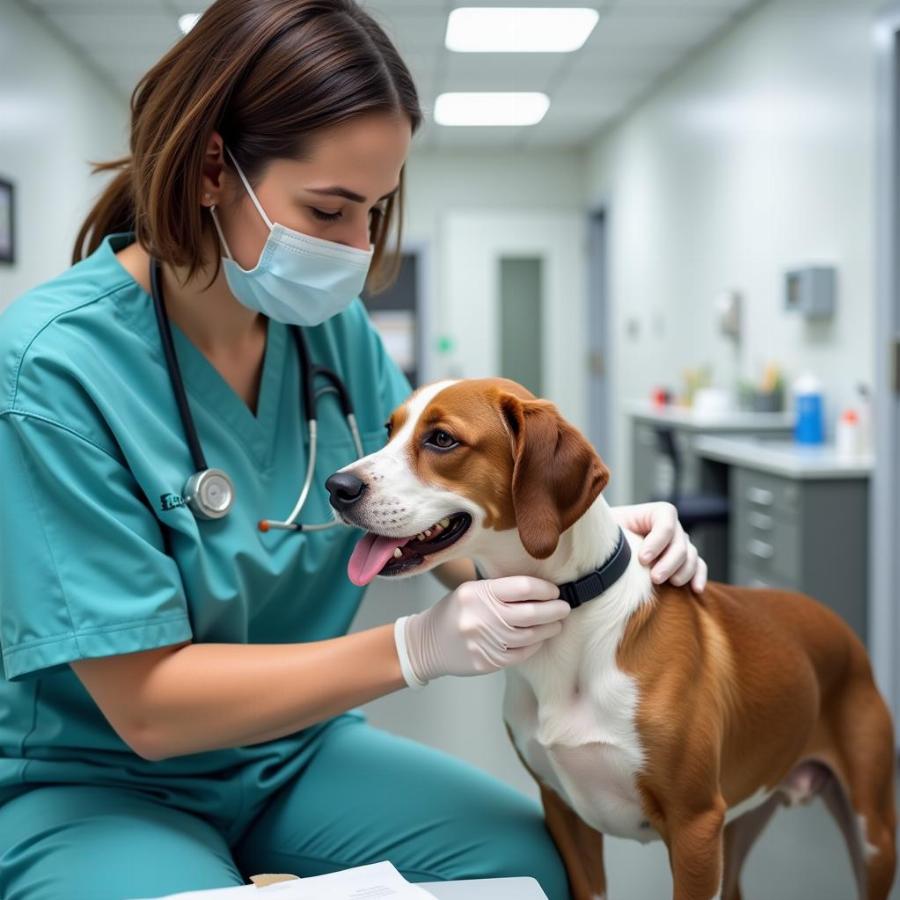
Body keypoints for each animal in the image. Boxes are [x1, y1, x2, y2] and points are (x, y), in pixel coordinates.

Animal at [326, 376, 896, 896]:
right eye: (388, 430)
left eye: (441, 439)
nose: (337, 486)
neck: (572, 616)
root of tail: (836, 623)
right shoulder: (565, 814)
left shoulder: (695, 826)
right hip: (741, 822)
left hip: (871, 835)